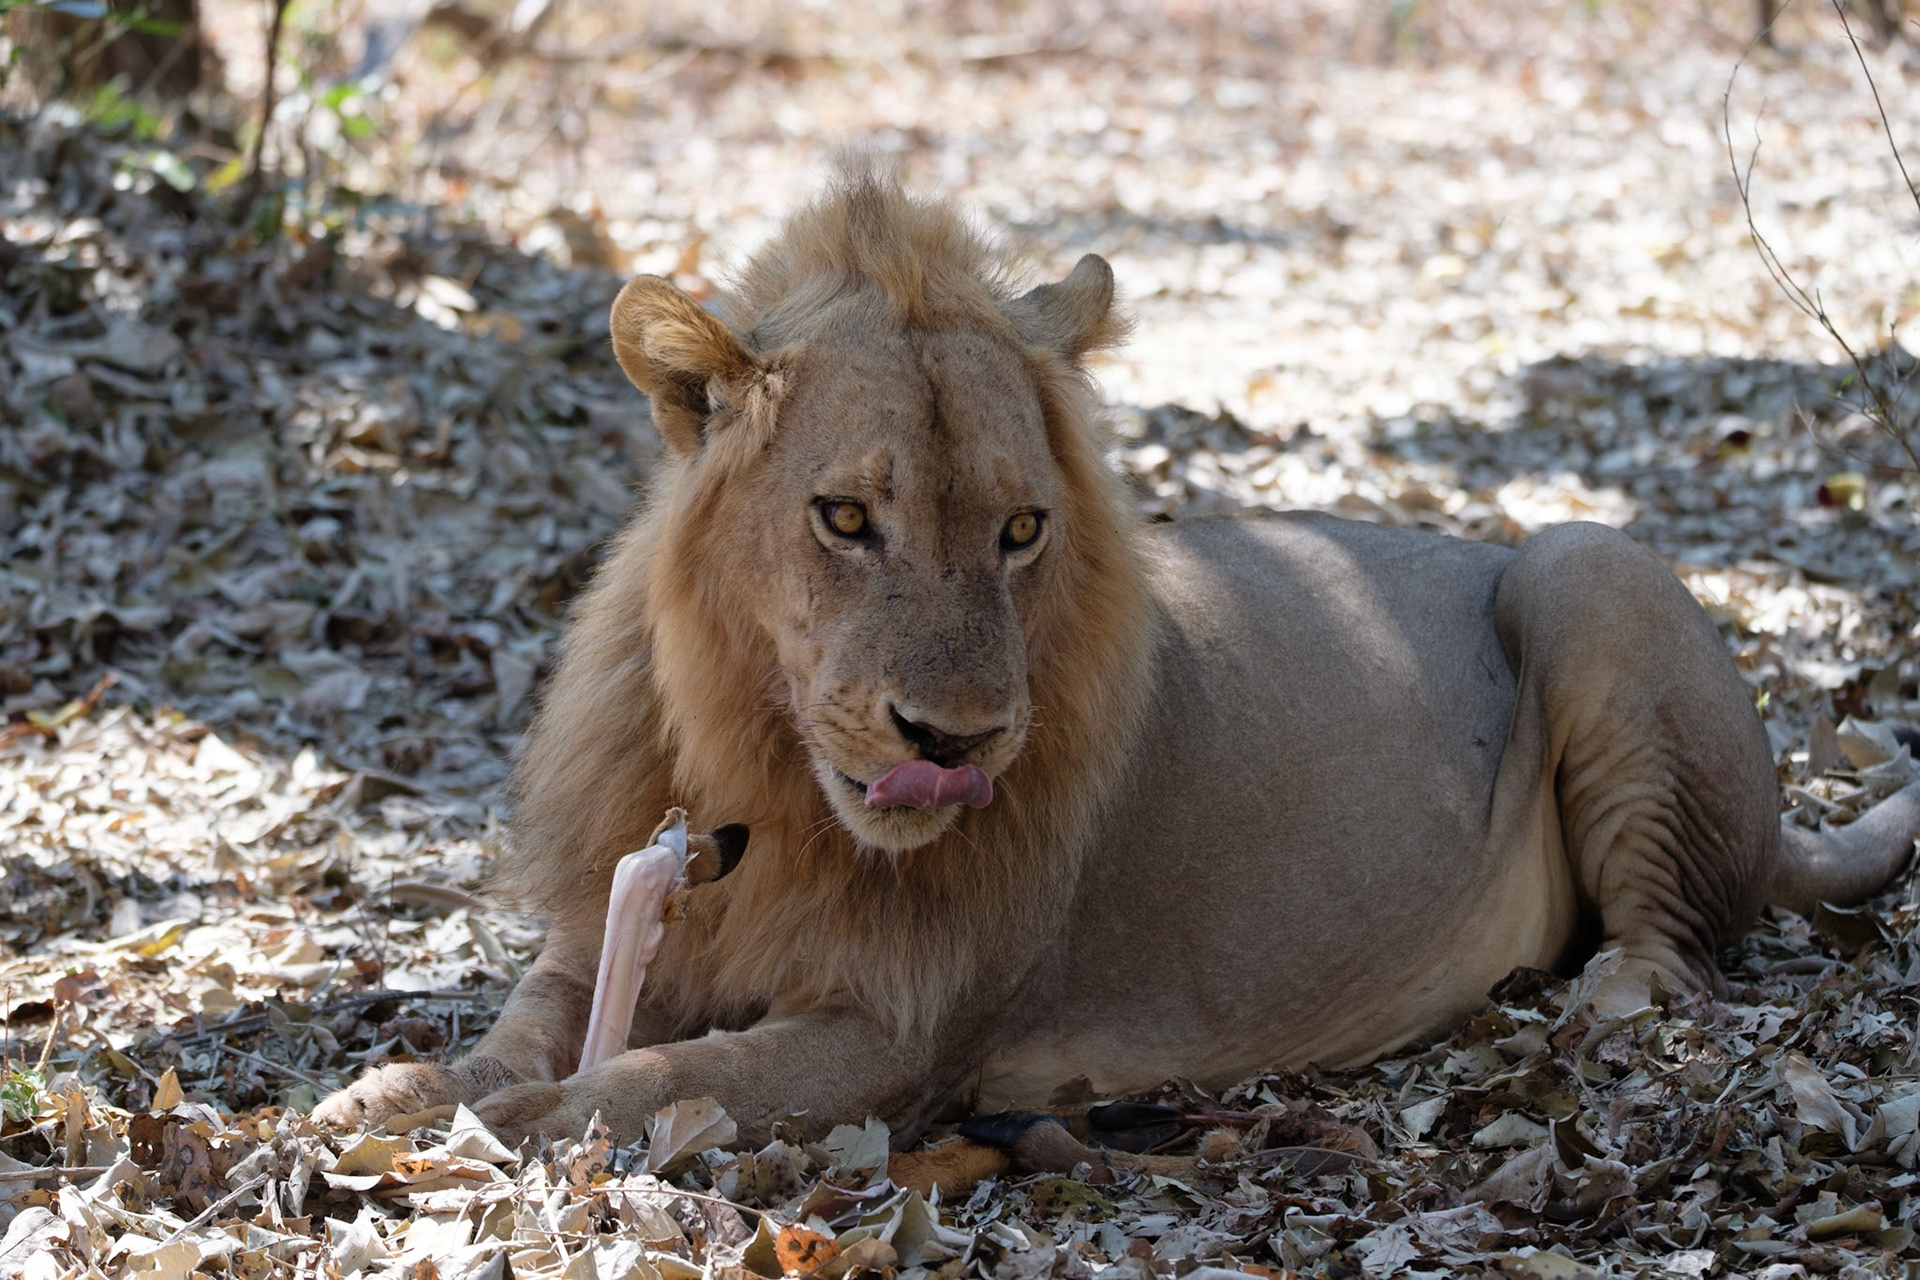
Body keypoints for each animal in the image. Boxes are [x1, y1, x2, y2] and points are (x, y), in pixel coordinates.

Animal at [315, 168, 1920, 1148]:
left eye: (1022, 528)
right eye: (846, 517)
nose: (954, 742)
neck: (756, 768)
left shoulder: (901, 1037)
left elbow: (645, 1081)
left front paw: (468, 1132)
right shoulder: (612, 921)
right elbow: (526, 1032)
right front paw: (388, 1091)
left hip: (1584, 565)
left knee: (1685, 950)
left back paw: (1610, 996)